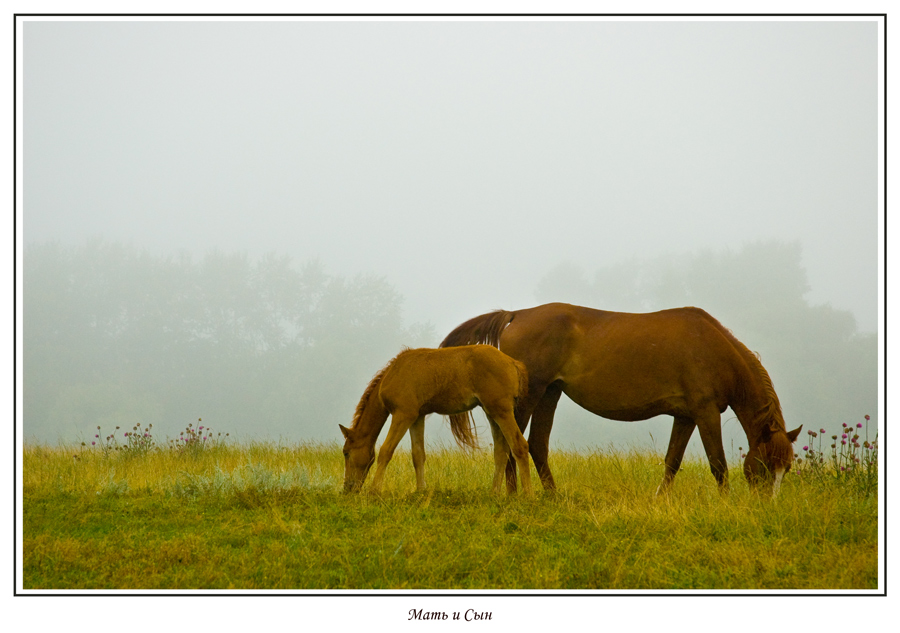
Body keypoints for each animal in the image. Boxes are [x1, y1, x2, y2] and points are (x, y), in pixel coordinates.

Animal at [342, 346, 532, 494]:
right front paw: (420, 491)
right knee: (501, 452)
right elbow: (418, 455)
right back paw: (494, 493)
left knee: (520, 446)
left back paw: (528, 495)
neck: (394, 373)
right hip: (492, 413)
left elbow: (385, 451)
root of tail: (513, 363)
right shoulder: (417, 417)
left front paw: (374, 491)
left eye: (346, 452)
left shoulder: (403, 415)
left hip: (502, 412)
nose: (347, 488)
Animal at [442, 304, 800, 496]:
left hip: (549, 395)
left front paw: (659, 501)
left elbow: (672, 462)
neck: (714, 349)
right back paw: (516, 495)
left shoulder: (685, 416)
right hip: (529, 397)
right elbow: (719, 465)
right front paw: (725, 504)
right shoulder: (705, 413)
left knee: (536, 446)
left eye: (787, 469)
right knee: (512, 443)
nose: (767, 507)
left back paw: (553, 497)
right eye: (764, 466)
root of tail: (516, 314)